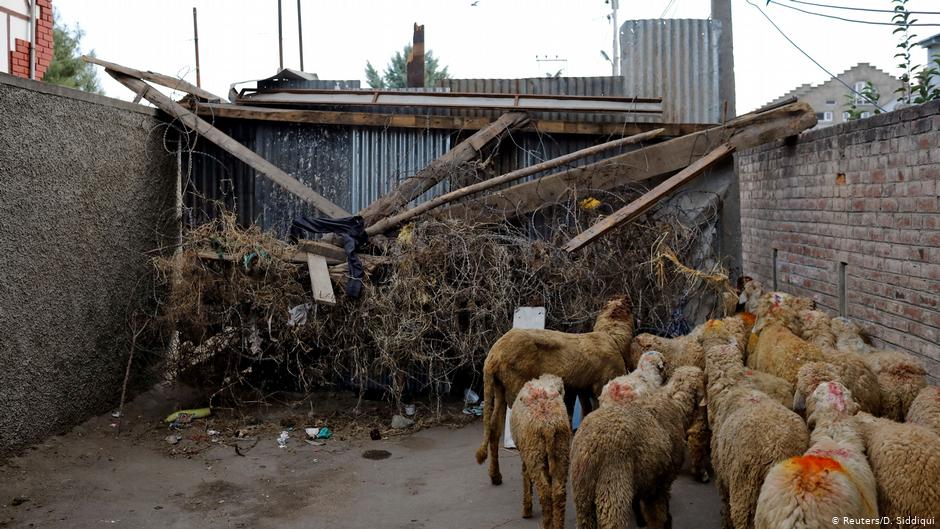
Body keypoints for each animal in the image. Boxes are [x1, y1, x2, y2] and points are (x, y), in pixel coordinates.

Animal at [478, 294, 632, 484]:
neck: (613, 336)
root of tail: (493, 357)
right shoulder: (601, 386)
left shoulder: (580, 389)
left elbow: (583, 416)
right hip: (516, 387)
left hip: (499, 390)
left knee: (493, 430)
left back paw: (495, 476)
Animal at [506, 372, 572, 528]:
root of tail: (548, 424)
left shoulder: (525, 455)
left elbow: (525, 476)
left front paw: (526, 510)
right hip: (561, 451)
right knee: (558, 493)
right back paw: (557, 524)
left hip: (534, 453)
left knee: (545, 492)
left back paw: (546, 523)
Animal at [564, 366, 704, 528]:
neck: (677, 406)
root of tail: (589, 447)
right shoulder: (662, 482)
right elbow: (658, 515)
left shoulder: (648, 479)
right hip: (614, 484)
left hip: (583, 494)